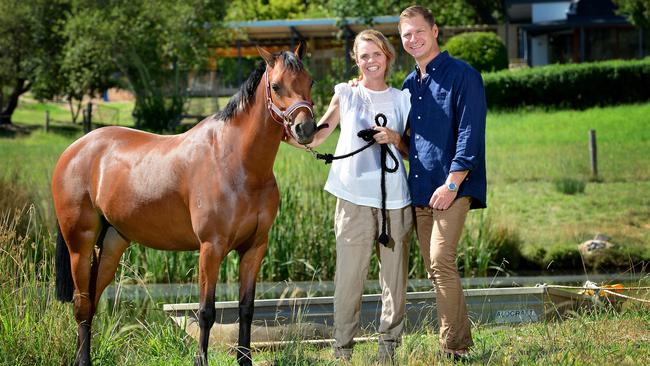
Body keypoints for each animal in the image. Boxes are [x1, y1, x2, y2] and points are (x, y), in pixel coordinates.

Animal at [52, 45, 316, 366]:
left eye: (310, 81)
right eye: (276, 86)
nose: (306, 128)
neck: (237, 163)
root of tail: (74, 149)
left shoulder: (255, 248)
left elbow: (246, 309)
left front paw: (245, 360)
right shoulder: (211, 247)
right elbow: (206, 312)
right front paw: (200, 359)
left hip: (112, 243)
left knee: (91, 302)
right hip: (80, 243)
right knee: (81, 304)